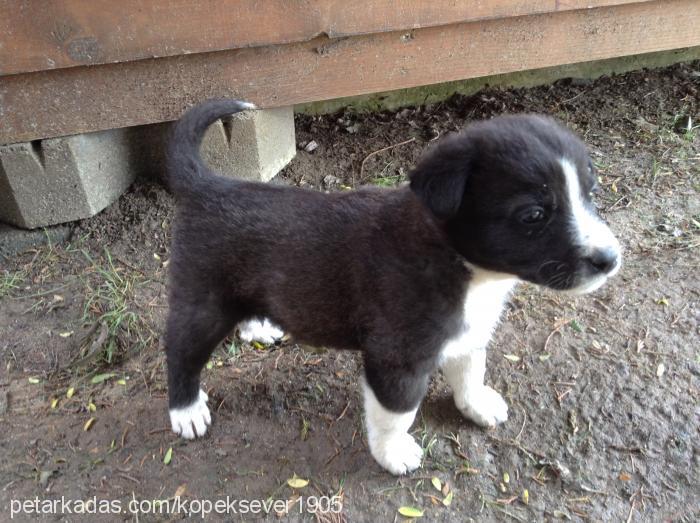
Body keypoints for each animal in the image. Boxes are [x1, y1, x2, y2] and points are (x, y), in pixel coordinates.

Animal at [165, 98, 624, 474]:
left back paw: (258, 326)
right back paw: (186, 411)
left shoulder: (467, 333)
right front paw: (394, 453)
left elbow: (470, 371)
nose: (610, 259)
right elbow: (397, 414)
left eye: (590, 193)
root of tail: (207, 183)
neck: (460, 263)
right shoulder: (397, 359)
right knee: (180, 351)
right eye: (533, 215)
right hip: (202, 302)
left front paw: (477, 404)